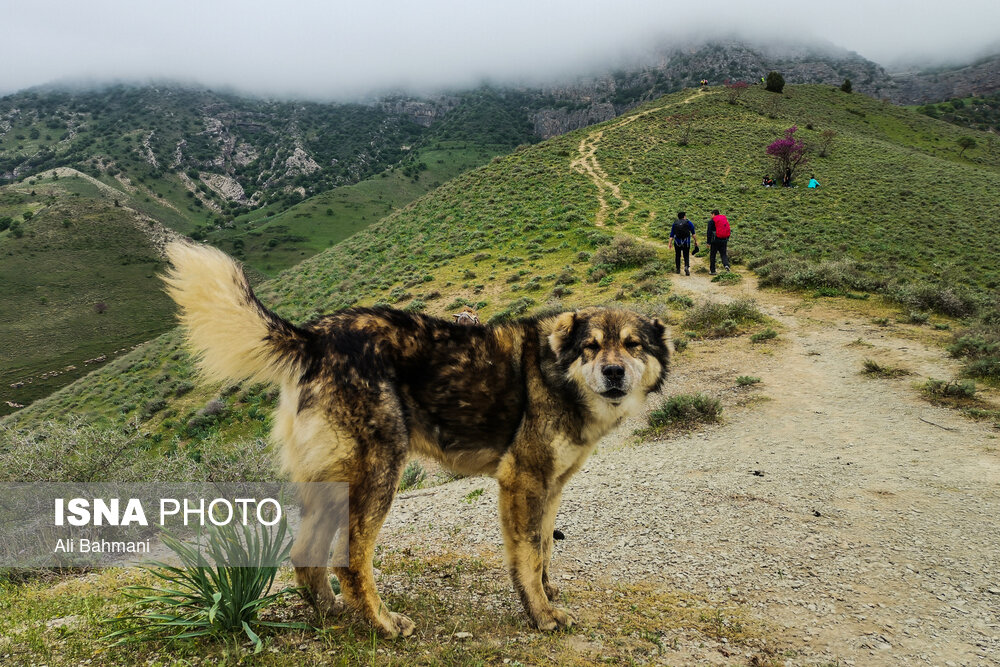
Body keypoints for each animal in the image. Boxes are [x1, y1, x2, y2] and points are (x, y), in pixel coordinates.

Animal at [164, 243, 672, 640]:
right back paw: (384, 625)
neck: (556, 372)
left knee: (306, 555)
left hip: (331, 484)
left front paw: (547, 593)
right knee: (349, 560)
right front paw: (541, 614)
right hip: (378, 474)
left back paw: (332, 615)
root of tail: (314, 337)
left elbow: (545, 545)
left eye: (633, 345)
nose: (614, 372)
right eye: (591, 346)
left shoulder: (551, 486)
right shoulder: (522, 481)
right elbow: (528, 554)